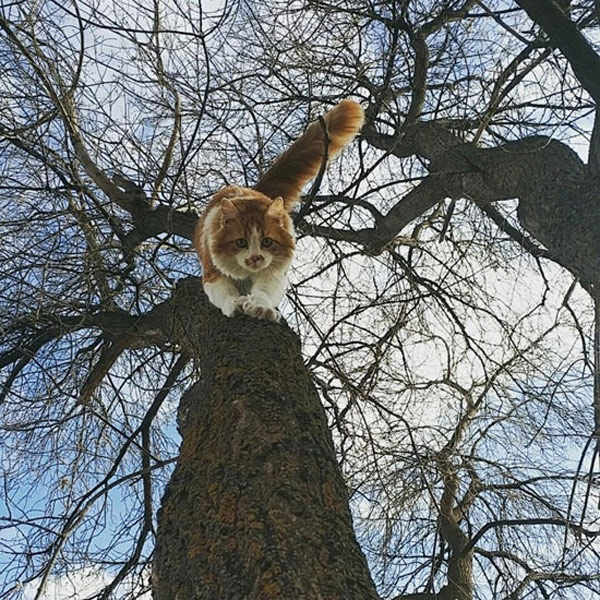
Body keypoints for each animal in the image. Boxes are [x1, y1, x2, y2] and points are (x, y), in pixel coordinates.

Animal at [195, 100, 364, 322]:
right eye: (241, 243)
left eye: (267, 242)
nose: (255, 258)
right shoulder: (212, 272)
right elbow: (227, 294)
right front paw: (236, 303)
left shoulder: (273, 273)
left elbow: (263, 292)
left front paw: (260, 307)